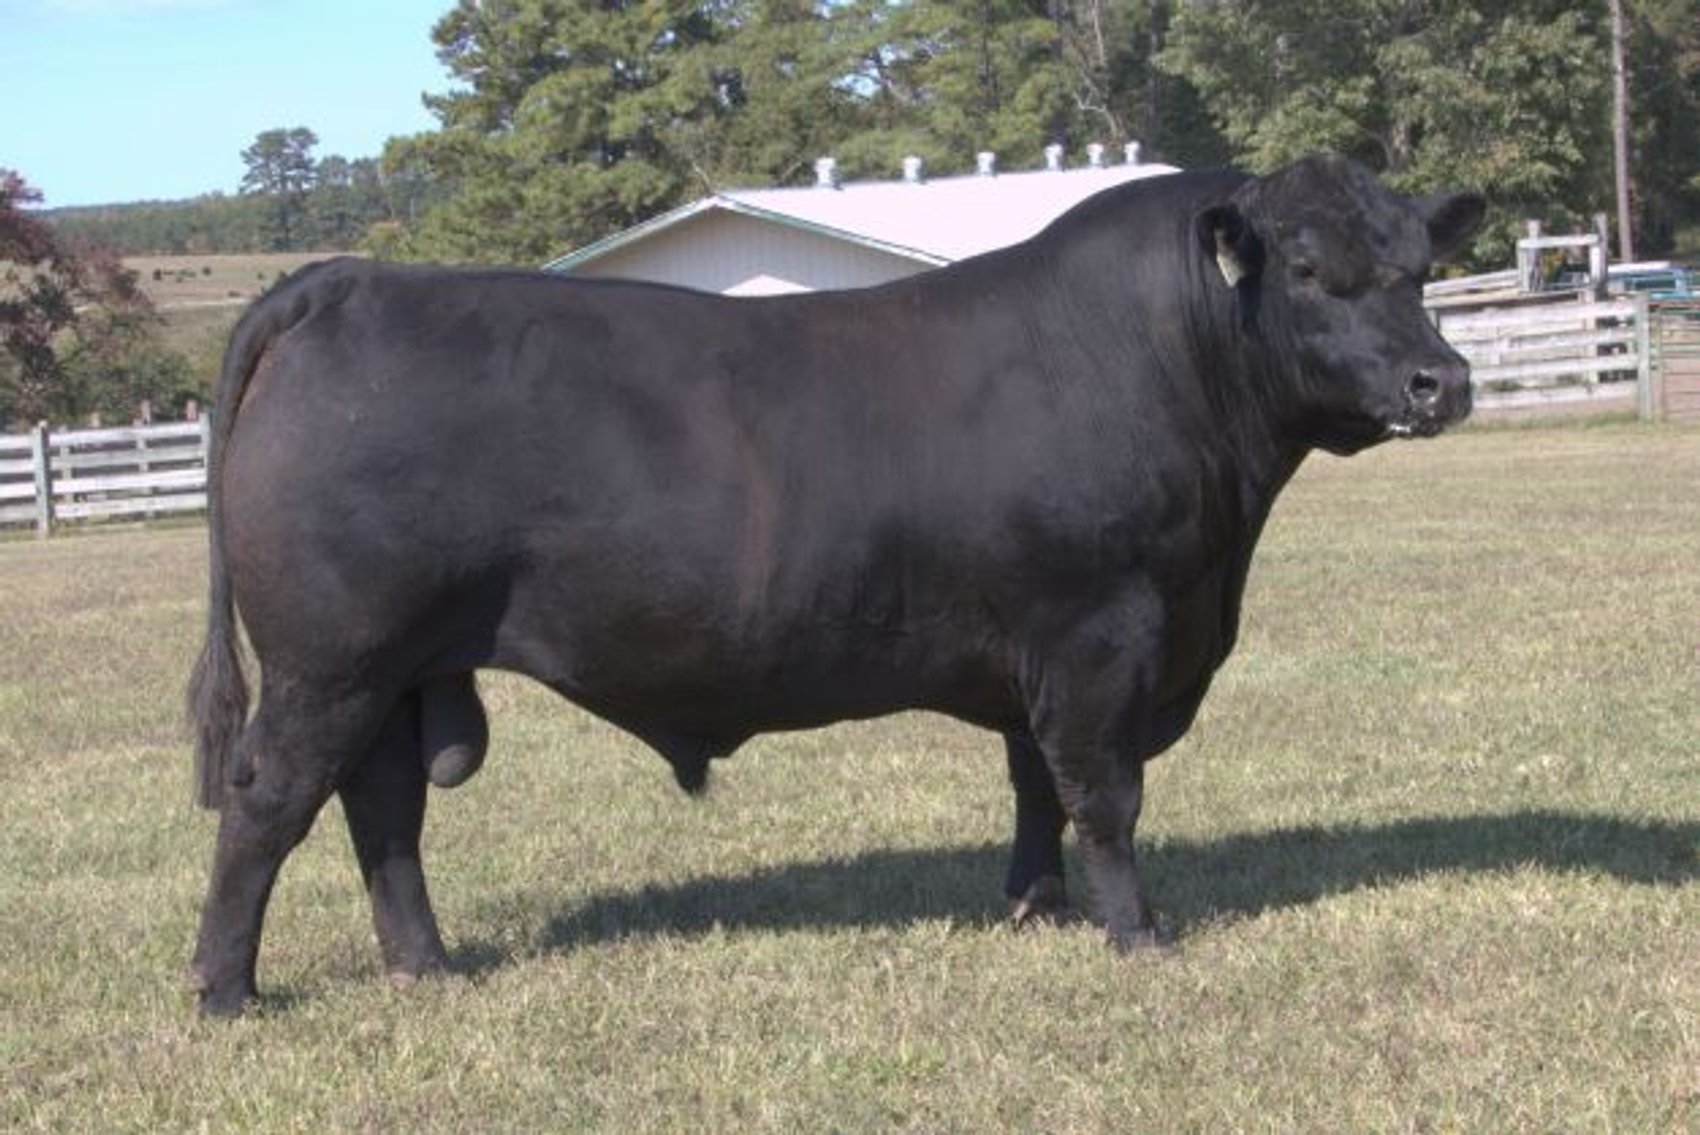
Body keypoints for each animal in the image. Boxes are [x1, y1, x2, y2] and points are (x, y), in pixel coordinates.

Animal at [187, 154, 1483, 1016]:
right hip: (330, 661)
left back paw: (424, 967)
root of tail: (349, 282)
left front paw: (1036, 906)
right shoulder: (1099, 634)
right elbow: (1103, 794)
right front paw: (1135, 934)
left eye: (1421, 269)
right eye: (1305, 269)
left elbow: (1033, 783)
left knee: (383, 810)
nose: (1440, 382)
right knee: (270, 802)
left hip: (399, 671)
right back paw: (226, 991)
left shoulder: (1035, 646)